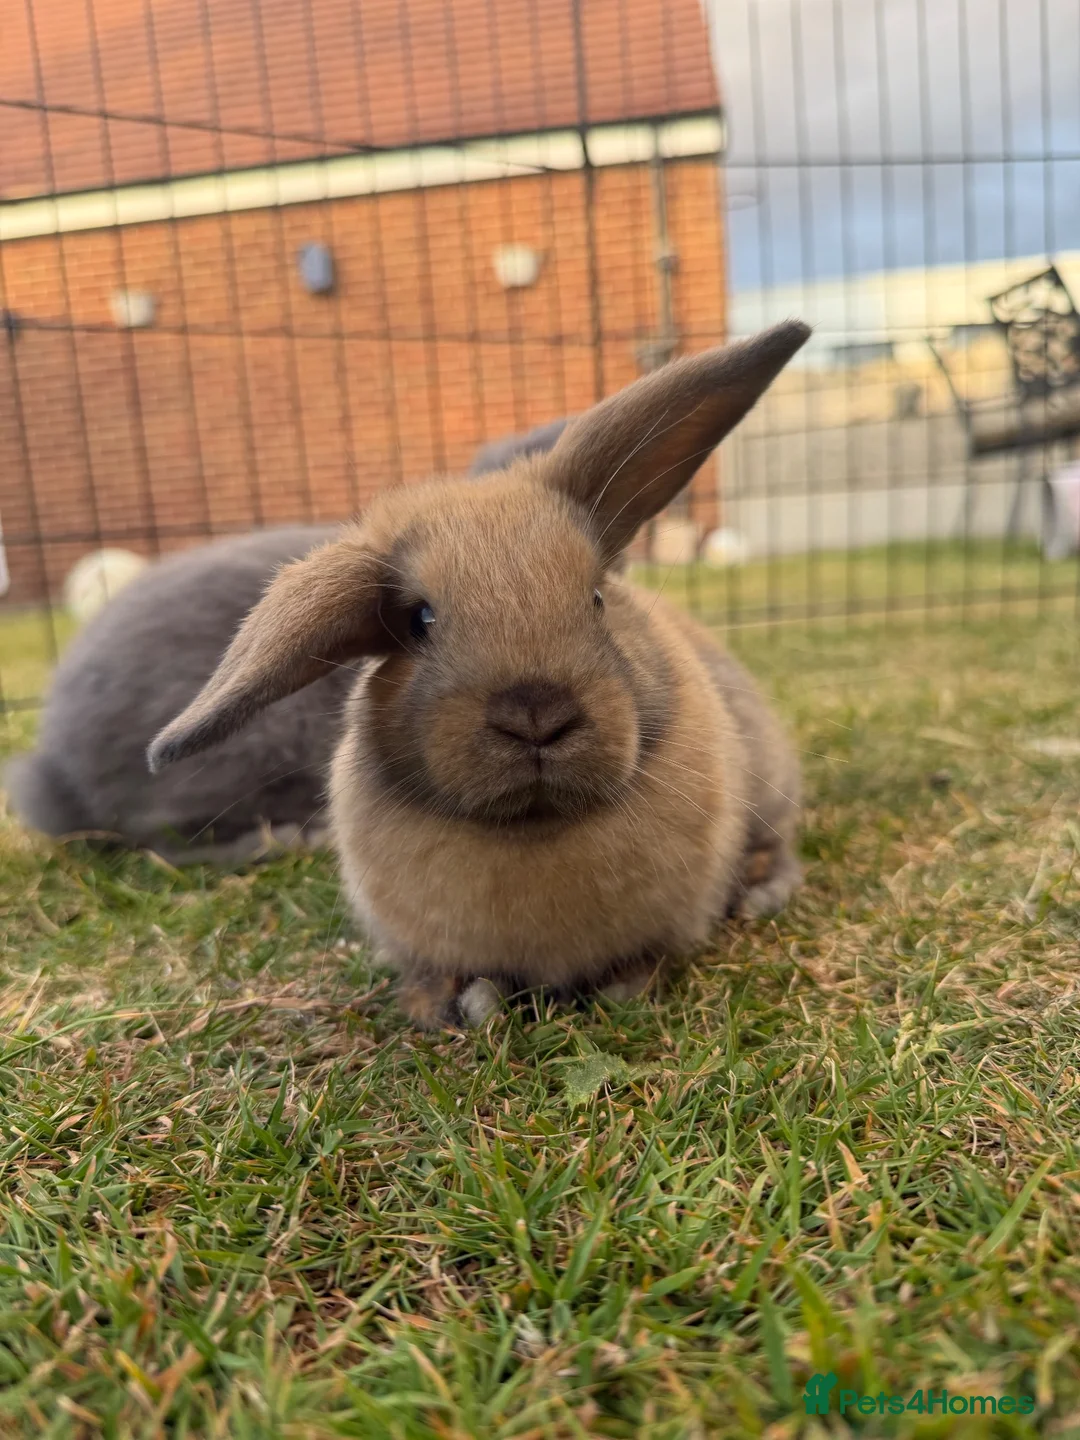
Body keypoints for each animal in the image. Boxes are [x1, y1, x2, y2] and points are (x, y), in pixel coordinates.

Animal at [147, 321, 810, 1027]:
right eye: (419, 620)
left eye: (597, 598)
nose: (535, 713)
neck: (533, 828)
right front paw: (463, 1004)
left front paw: (624, 989)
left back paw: (760, 893)